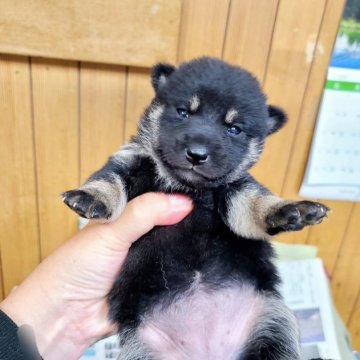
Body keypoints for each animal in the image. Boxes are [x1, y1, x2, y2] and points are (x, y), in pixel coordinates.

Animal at [62, 57, 330, 358]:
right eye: (183, 112)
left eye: (233, 129)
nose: (197, 154)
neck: (186, 186)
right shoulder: (128, 161)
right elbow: (108, 180)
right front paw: (91, 196)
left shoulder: (235, 191)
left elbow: (257, 203)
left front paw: (286, 210)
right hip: (140, 348)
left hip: (275, 322)